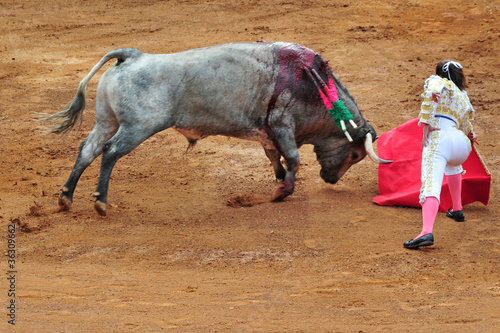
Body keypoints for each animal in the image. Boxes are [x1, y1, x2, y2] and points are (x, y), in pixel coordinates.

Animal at [44, 41, 390, 215]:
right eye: (356, 155)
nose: (330, 179)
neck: (315, 88)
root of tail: (133, 56)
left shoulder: (268, 131)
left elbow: (275, 158)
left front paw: (280, 181)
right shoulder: (282, 124)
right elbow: (292, 158)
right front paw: (282, 192)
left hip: (106, 121)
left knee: (87, 149)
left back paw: (66, 197)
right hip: (137, 127)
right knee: (110, 152)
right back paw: (101, 202)